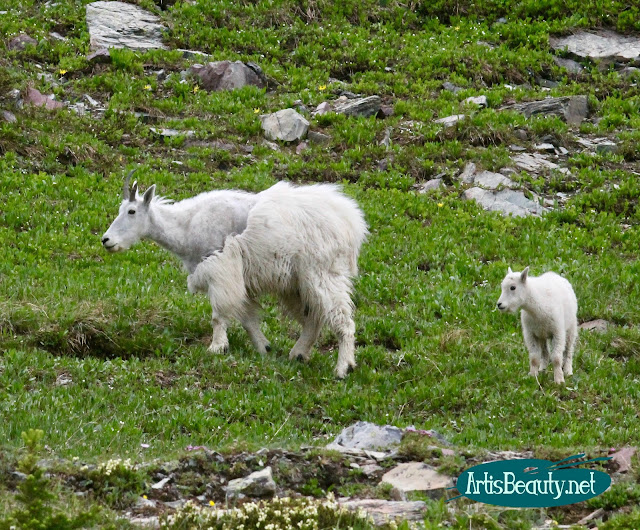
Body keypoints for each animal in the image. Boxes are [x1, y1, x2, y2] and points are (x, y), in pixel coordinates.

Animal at [101, 171, 272, 352]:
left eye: (131, 211)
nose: (106, 240)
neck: (188, 227)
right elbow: (247, 316)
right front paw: (264, 347)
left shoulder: (220, 269)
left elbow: (220, 314)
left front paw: (217, 347)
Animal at [188, 180, 368, 376]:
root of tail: (351, 222)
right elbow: (246, 315)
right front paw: (263, 346)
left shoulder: (223, 273)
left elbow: (222, 314)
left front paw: (217, 347)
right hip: (294, 285)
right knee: (314, 317)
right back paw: (299, 354)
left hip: (323, 274)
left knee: (342, 319)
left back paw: (343, 367)